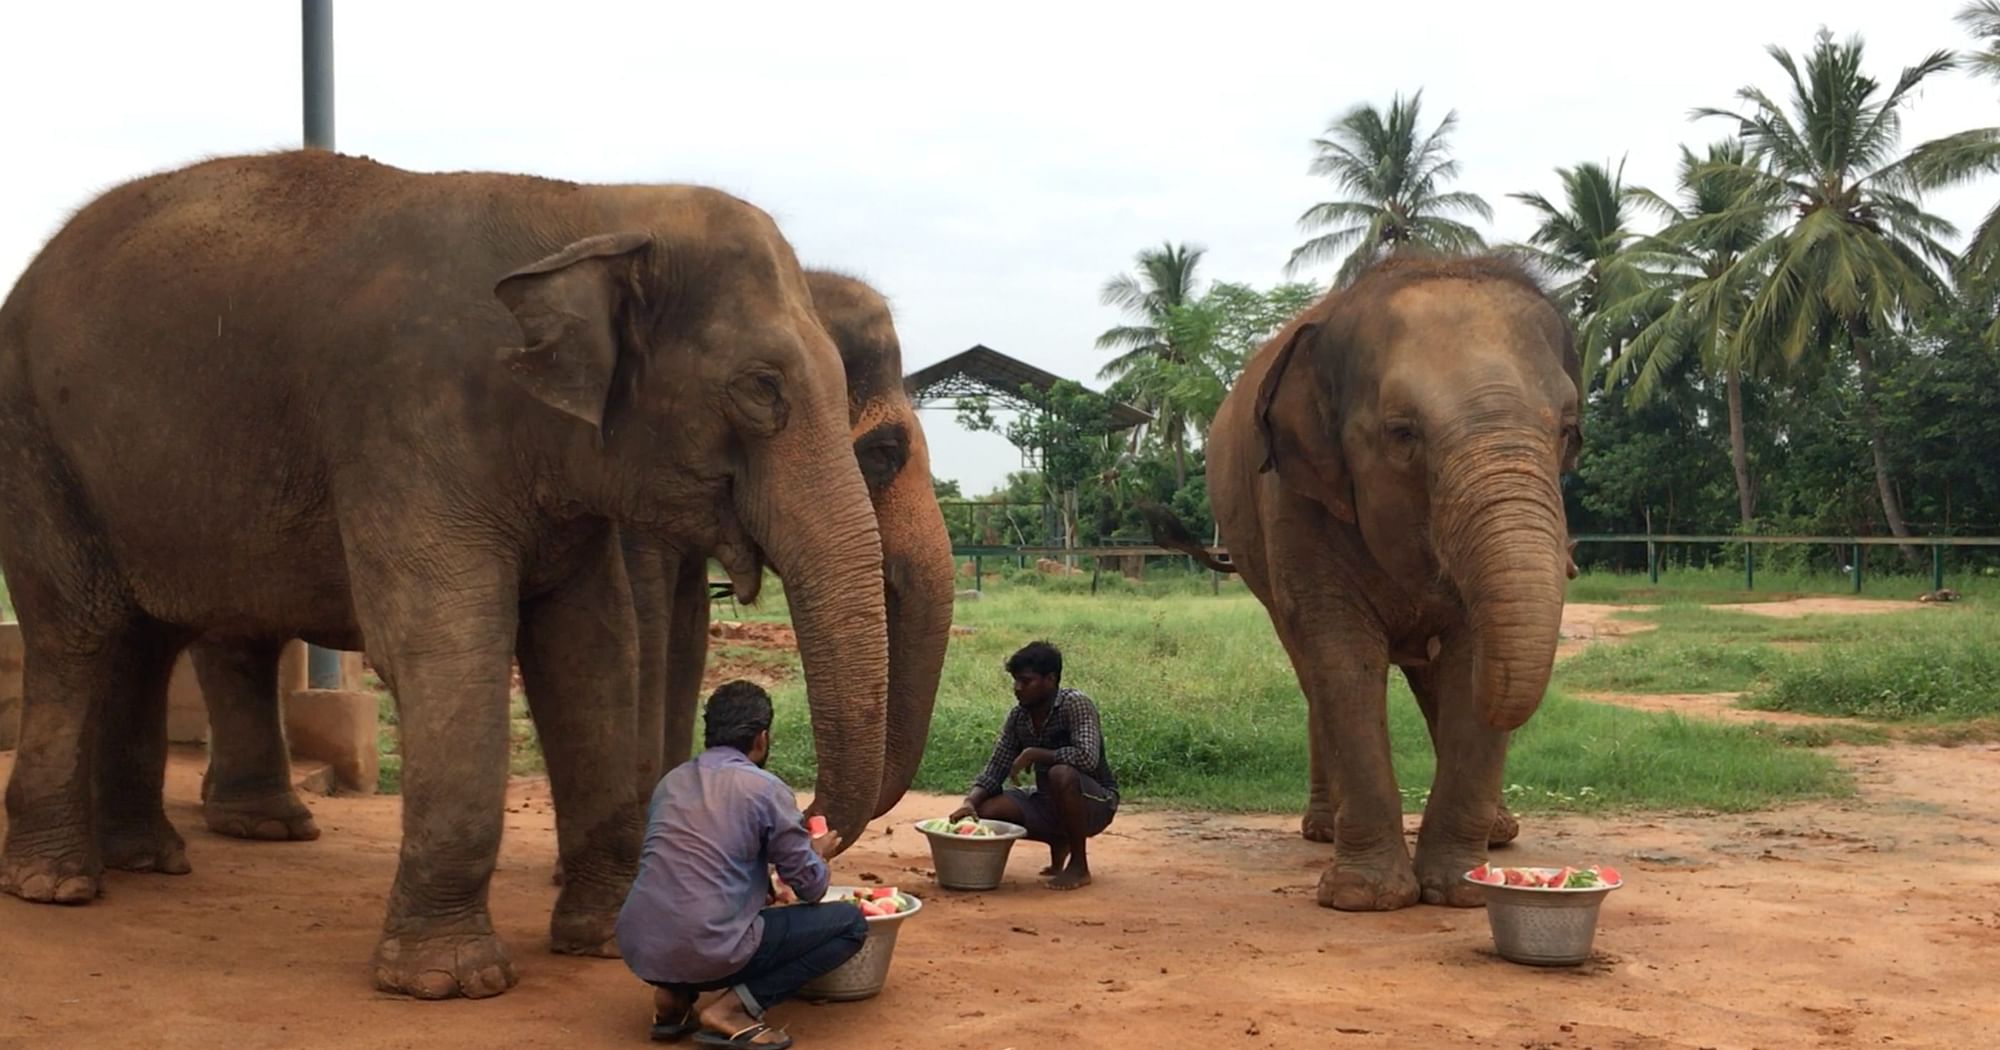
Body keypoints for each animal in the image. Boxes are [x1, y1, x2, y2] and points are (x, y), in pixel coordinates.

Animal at [0, 149, 884, 1000]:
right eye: (760, 389)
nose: (807, 829)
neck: (589, 207)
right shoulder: (410, 422)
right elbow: (444, 647)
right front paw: (450, 982)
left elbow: (592, 652)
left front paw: (601, 942)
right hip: (35, 447)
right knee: (77, 634)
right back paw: (57, 883)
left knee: (141, 639)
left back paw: (146, 859)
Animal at [1144, 252, 1576, 908]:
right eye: (1402, 433)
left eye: (1568, 431)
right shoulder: (1293, 498)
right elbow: (1343, 657)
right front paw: (1363, 896)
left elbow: (1469, 659)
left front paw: (1462, 890)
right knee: (1310, 672)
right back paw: (1325, 830)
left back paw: (1499, 834)